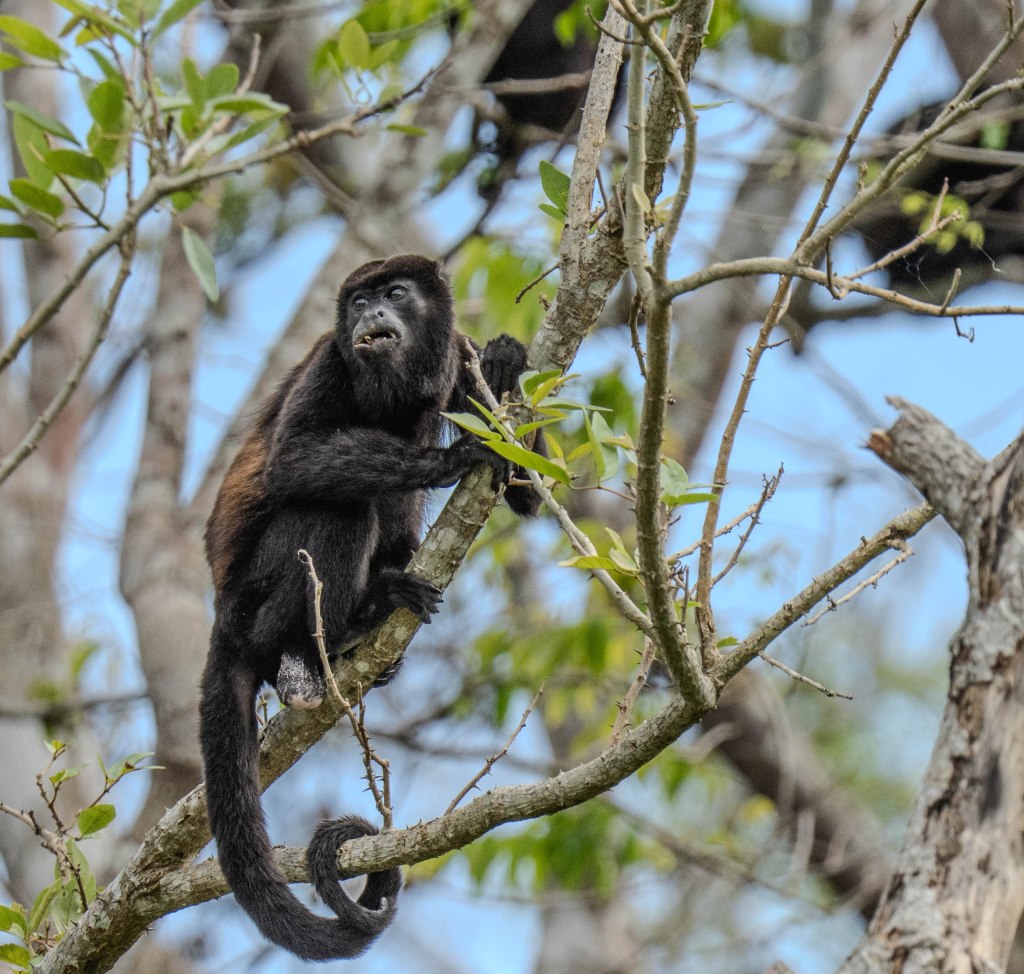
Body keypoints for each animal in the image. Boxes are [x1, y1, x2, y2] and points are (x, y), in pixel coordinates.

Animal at [199, 254, 543, 961]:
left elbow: (527, 485)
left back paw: (381, 608)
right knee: (340, 507)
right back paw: (323, 643)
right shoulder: (331, 359)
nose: (372, 314)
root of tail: (223, 614)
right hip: (255, 597)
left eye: (396, 294)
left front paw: (505, 361)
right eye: (358, 303)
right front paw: (453, 455)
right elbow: (293, 456)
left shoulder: (454, 360)